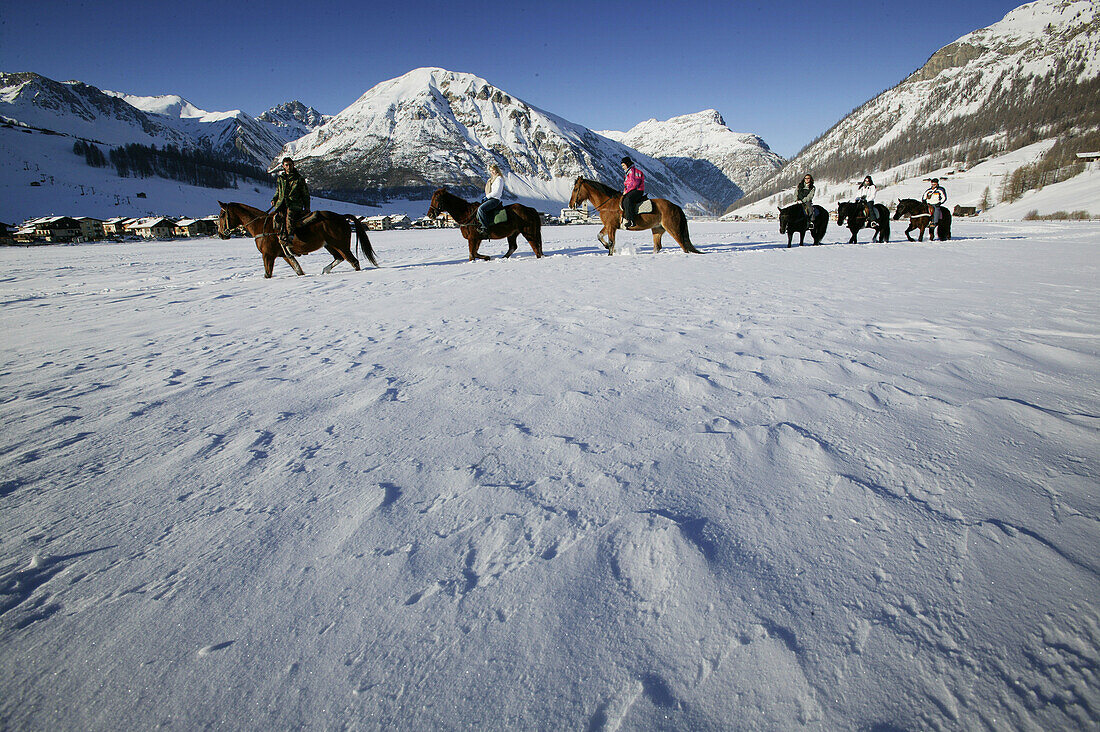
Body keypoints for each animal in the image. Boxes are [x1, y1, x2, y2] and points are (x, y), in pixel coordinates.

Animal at [216, 200, 380, 277]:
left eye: (222, 215)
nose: (221, 234)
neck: (260, 225)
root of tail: (341, 217)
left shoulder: (268, 255)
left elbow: (268, 274)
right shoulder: (284, 255)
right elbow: (298, 270)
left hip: (341, 244)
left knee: (353, 261)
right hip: (330, 245)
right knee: (339, 258)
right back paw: (325, 270)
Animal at [567, 177, 704, 255]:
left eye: (576, 189)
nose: (570, 204)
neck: (608, 204)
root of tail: (675, 206)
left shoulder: (611, 227)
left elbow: (611, 243)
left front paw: (610, 251)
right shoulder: (609, 226)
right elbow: (600, 236)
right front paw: (607, 247)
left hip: (672, 229)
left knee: (683, 246)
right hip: (657, 229)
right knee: (657, 246)